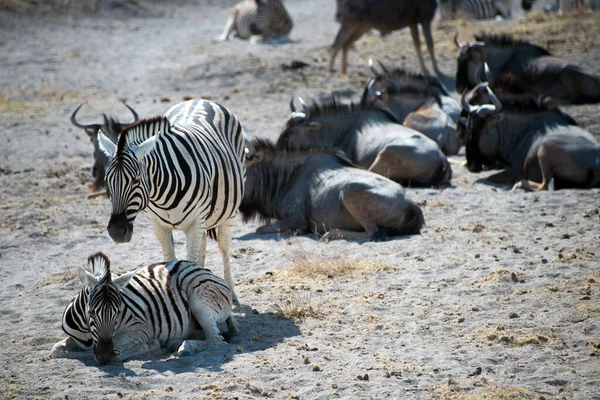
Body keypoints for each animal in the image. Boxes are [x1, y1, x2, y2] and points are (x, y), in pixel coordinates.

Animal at [49, 253, 237, 366]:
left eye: (118, 312)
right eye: (91, 312)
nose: (103, 356)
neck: (87, 334)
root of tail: (203, 269)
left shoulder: (139, 329)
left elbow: (118, 349)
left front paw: (149, 345)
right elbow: (56, 350)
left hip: (199, 301)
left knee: (216, 341)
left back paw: (184, 347)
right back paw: (175, 343)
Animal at [96, 98, 246, 302]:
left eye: (135, 180)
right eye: (107, 180)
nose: (117, 232)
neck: (162, 195)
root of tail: (201, 100)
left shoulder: (195, 222)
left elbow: (190, 262)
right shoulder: (158, 226)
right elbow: (170, 262)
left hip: (228, 211)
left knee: (224, 246)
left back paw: (231, 290)